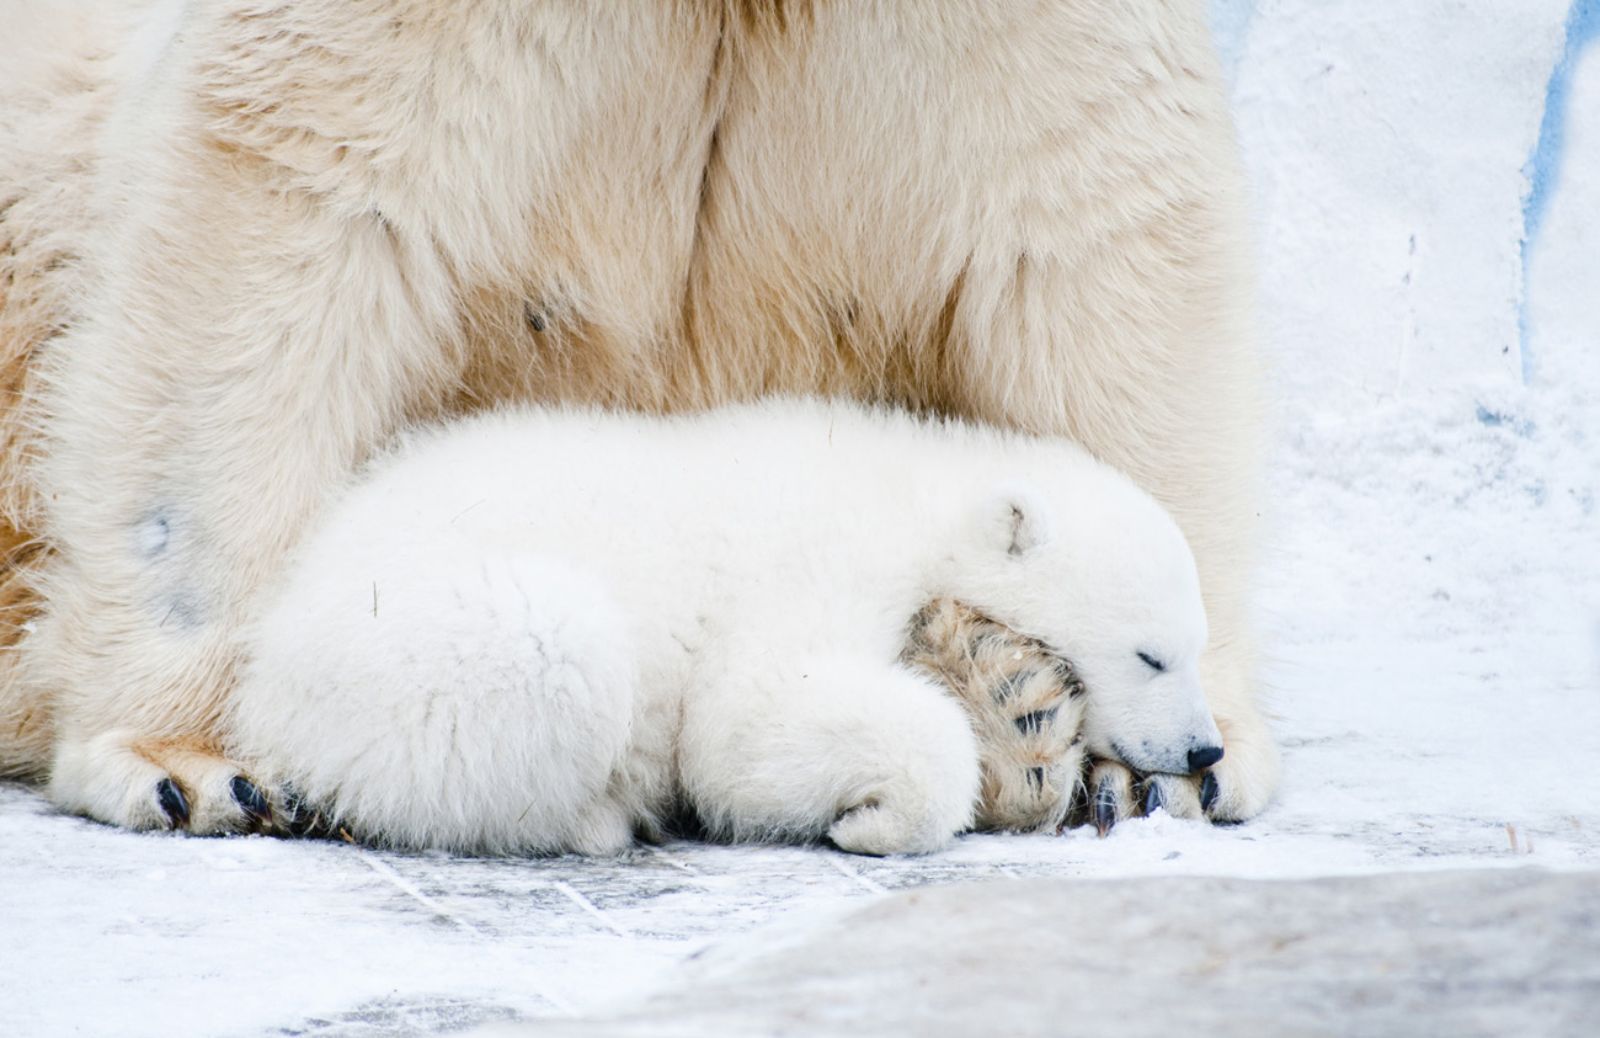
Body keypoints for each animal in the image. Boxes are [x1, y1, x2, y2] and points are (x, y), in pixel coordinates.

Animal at [0, 0, 1273, 825]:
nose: (1191, 742)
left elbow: (1095, 209)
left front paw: (1154, 766)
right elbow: (303, 181)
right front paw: (188, 760)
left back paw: (1005, 701)